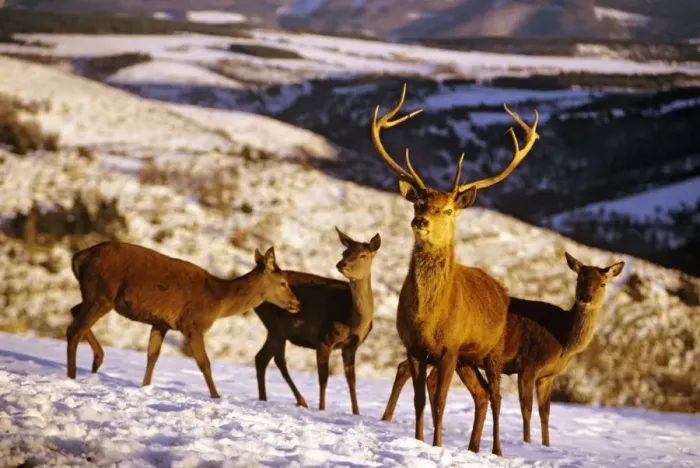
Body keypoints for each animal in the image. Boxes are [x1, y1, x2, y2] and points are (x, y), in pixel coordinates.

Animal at [66, 241, 301, 399]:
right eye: (283, 282)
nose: (297, 304)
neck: (218, 300)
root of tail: (78, 257)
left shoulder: (160, 323)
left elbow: (152, 356)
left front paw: (145, 387)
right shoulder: (193, 324)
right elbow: (204, 363)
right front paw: (216, 397)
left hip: (93, 294)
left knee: (73, 310)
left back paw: (97, 359)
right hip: (102, 292)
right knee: (74, 329)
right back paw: (72, 376)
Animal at [254, 227, 380, 415]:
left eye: (363, 254)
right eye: (344, 252)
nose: (341, 264)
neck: (352, 321)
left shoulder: (351, 346)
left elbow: (352, 380)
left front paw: (356, 413)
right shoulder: (324, 339)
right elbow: (323, 378)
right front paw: (322, 409)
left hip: (274, 328)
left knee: (261, 358)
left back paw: (264, 399)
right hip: (276, 325)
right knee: (277, 359)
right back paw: (300, 401)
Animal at [370, 83, 540, 456]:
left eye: (447, 209)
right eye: (418, 203)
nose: (420, 221)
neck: (429, 318)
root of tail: (502, 289)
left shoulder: (449, 348)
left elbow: (441, 401)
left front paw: (436, 445)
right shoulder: (415, 347)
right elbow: (420, 400)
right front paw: (419, 441)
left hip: (493, 350)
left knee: (495, 396)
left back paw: (496, 450)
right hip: (468, 359)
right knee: (480, 395)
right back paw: (474, 447)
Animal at [381, 251, 625, 448]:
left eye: (603, 284)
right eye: (579, 278)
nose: (586, 297)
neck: (562, 339)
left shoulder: (547, 376)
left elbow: (545, 412)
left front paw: (546, 445)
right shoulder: (529, 365)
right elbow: (526, 408)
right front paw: (527, 442)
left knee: (409, 369)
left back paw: (390, 419)